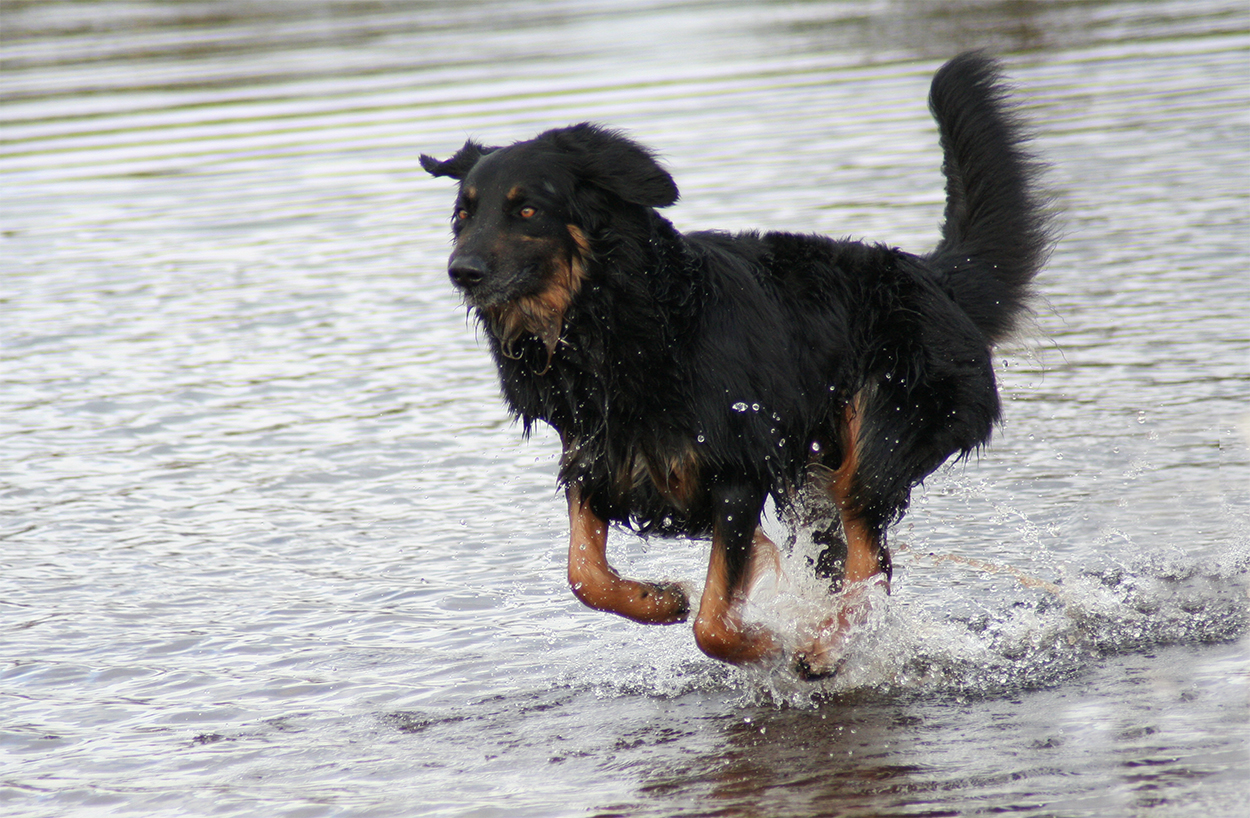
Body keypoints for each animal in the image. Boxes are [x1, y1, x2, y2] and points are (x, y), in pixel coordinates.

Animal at [420, 52, 1051, 678]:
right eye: (462, 215)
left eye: (526, 209)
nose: (460, 270)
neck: (625, 324)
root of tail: (935, 278)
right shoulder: (598, 460)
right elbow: (582, 573)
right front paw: (658, 598)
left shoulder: (737, 471)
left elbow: (712, 623)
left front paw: (769, 642)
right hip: (815, 476)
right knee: (852, 562)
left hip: (882, 440)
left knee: (869, 560)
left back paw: (824, 644)